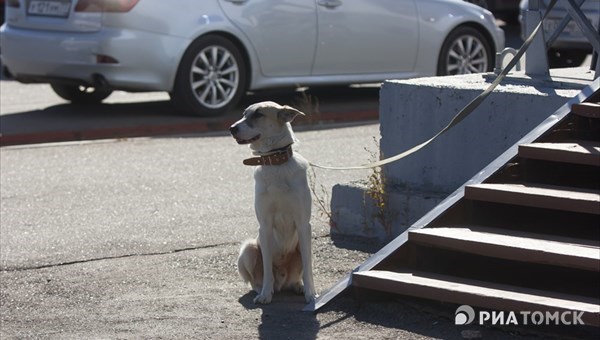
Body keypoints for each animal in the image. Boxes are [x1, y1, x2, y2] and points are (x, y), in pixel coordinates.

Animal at [229, 101, 316, 306]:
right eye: (243, 114)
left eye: (258, 114)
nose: (231, 128)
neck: (276, 162)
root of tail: (282, 282)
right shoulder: (265, 226)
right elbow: (267, 268)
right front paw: (265, 295)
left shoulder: (304, 225)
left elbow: (308, 269)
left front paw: (311, 294)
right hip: (248, 249)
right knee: (255, 281)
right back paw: (263, 290)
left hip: (305, 246)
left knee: (298, 274)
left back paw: (298, 286)